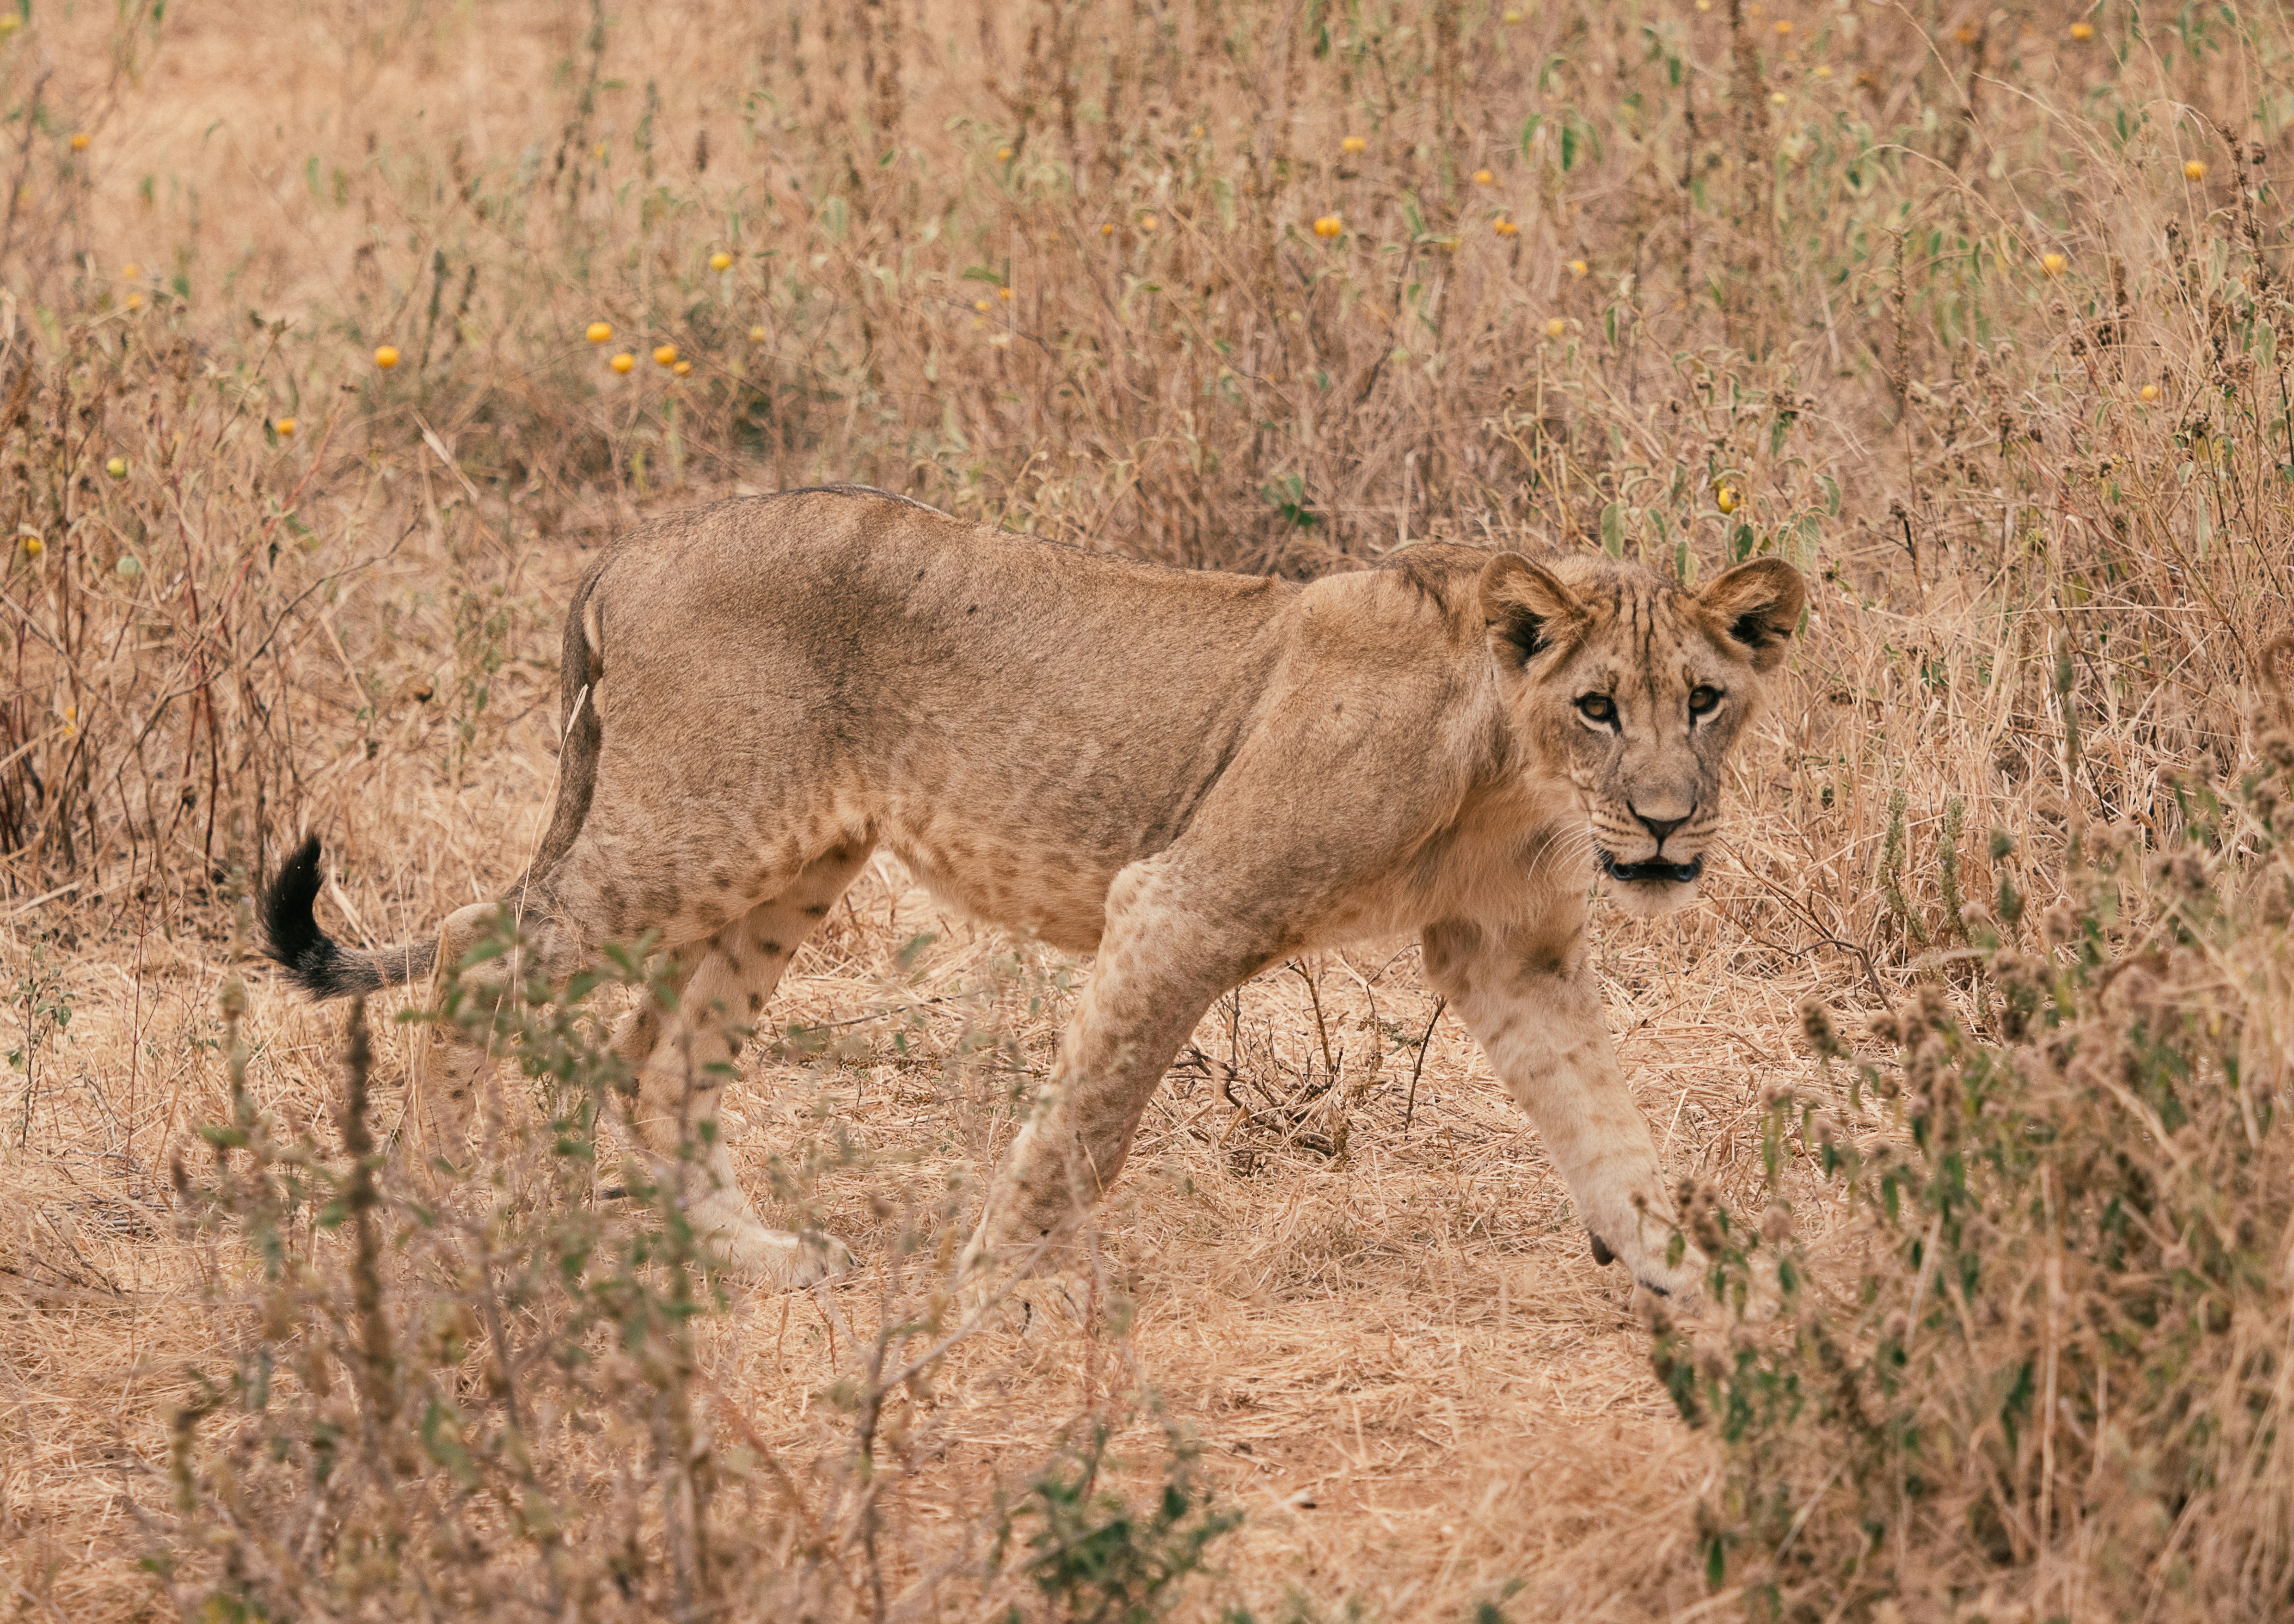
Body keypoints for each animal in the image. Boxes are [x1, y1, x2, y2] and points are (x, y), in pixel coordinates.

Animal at [261, 485, 1805, 1310]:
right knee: (484, 954)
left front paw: (1700, 1282)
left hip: (787, 867)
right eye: (1599, 706)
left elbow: (1607, 1122)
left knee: (660, 1056)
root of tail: (631, 550)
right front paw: (985, 1296)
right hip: (687, 831)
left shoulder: (1514, 953)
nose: (1665, 824)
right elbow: (1087, 1124)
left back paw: (760, 1256)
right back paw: (440, 1219)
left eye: (1705, 702)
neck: (1509, 766)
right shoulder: (1181, 904)